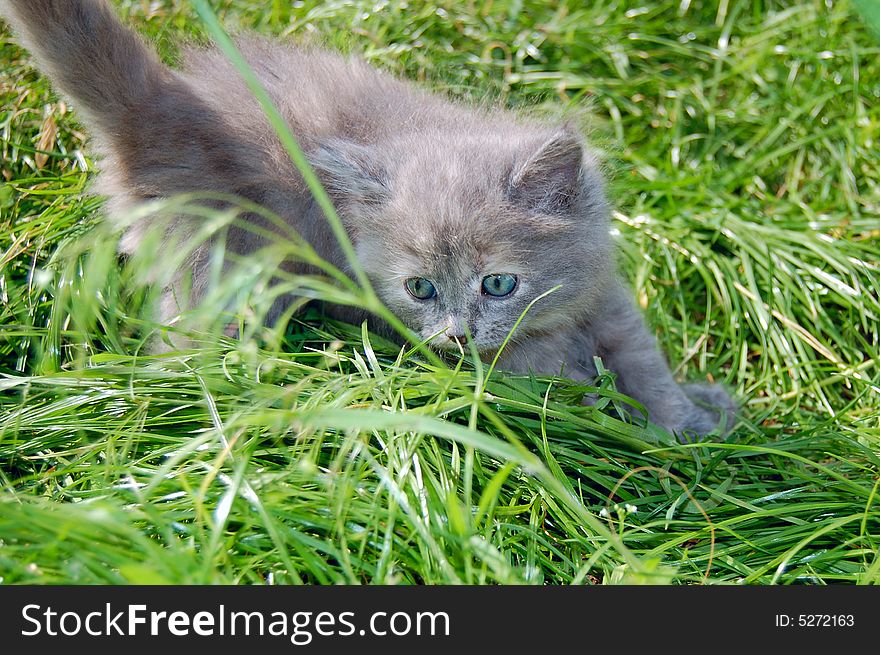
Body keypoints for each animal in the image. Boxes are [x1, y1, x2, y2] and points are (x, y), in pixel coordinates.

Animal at [1, 2, 736, 440]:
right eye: (421, 289)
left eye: (499, 283)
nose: (457, 334)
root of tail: (160, 110)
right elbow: (556, 380)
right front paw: (610, 411)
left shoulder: (607, 296)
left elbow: (646, 363)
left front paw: (697, 419)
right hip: (226, 275)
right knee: (184, 358)